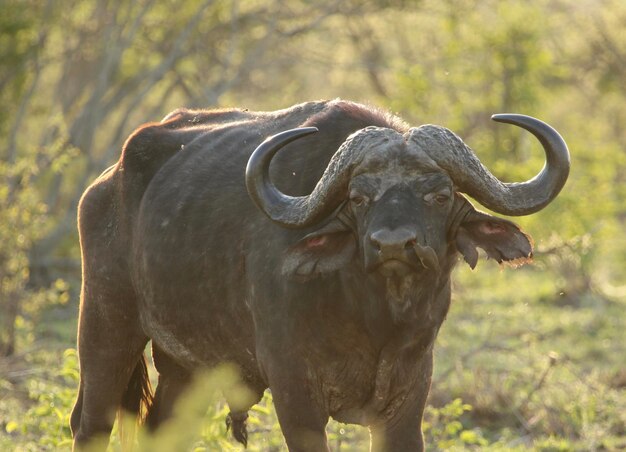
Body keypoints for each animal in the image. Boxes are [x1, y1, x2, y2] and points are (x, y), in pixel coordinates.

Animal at [70, 100, 568, 450]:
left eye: (439, 195)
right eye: (360, 197)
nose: (393, 245)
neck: (375, 320)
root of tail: (105, 184)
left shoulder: (408, 399)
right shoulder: (295, 395)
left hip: (185, 366)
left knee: (161, 432)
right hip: (104, 326)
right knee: (90, 423)